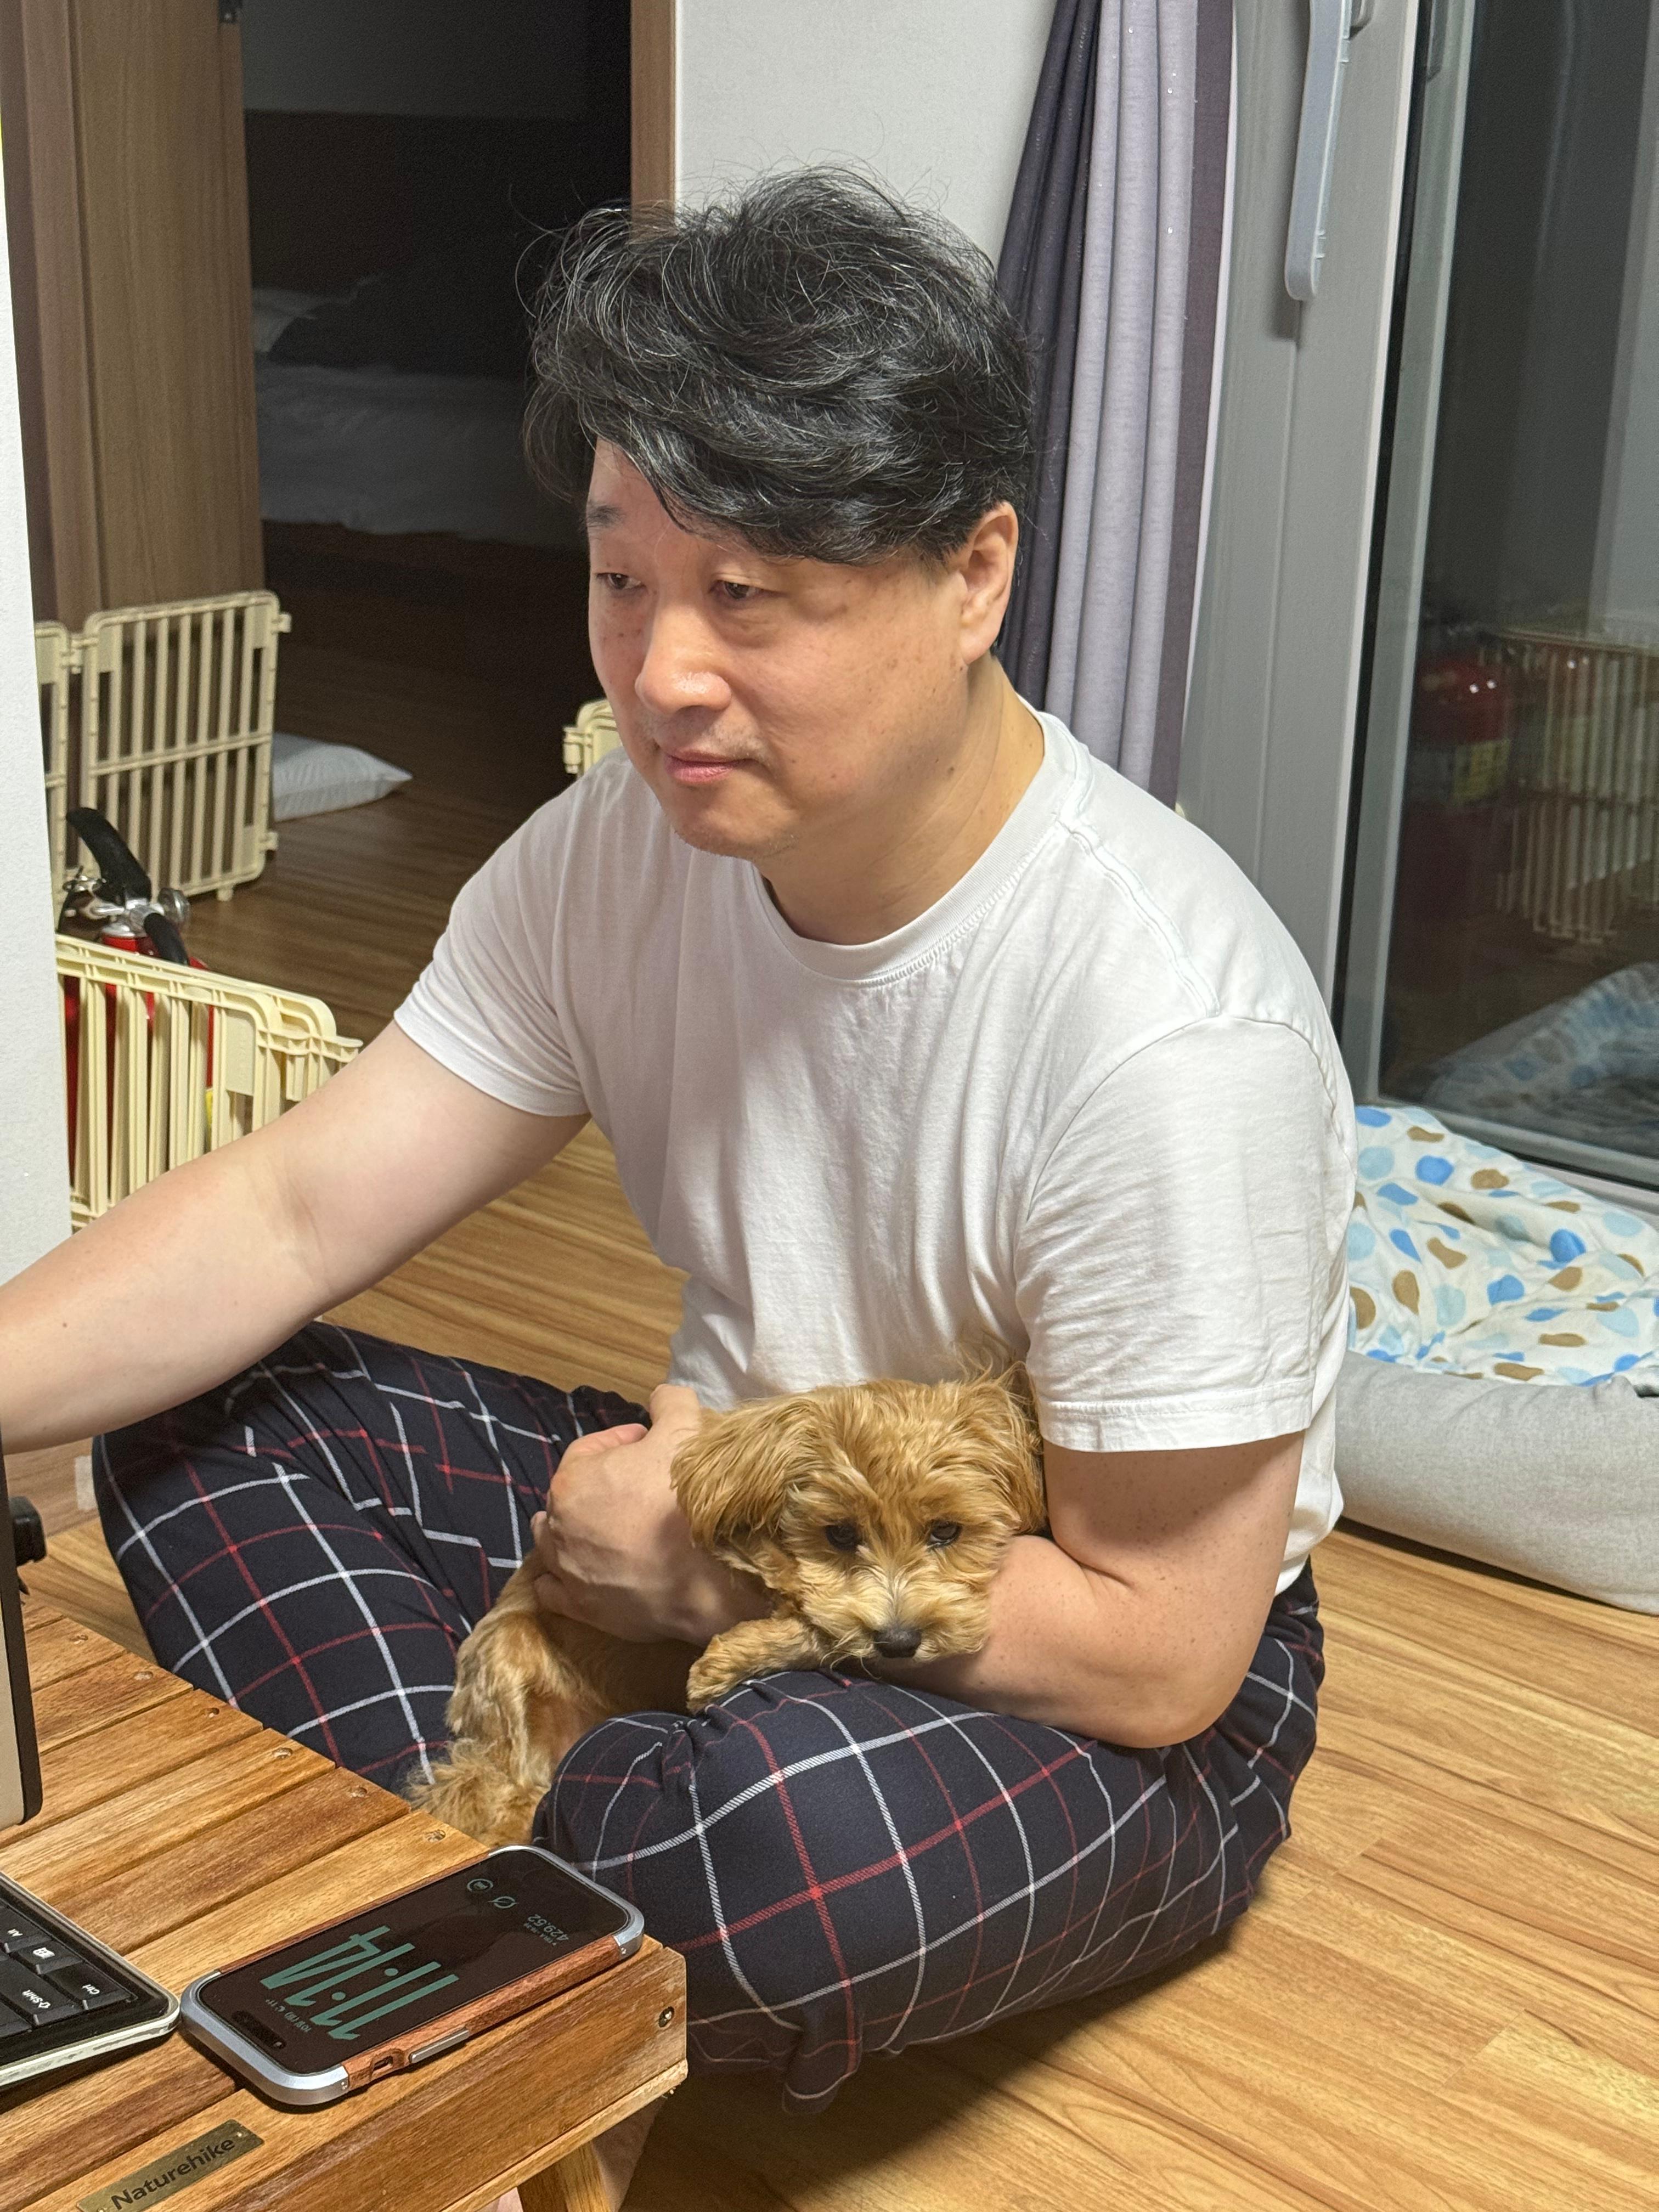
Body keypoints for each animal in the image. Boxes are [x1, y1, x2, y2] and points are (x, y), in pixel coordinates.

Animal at [409, 1368, 1045, 1846]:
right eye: (840, 1534)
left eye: (947, 1531)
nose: (899, 1643)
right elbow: (798, 1588)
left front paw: (731, 1657)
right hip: (506, 1660)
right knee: (490, 1788)